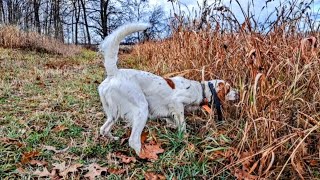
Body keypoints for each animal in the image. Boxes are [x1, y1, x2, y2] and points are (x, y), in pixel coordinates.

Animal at [97, 22, 238, 155]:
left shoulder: (170, 112)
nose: (238, 94)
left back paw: (113, 139)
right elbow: (182, 124)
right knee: (133, 140)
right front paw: (185, 138)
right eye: (229, 88)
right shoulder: (177, 103)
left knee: (104, 129)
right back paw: (144, 154)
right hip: (141, 108)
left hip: (113, 114)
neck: (200, 89)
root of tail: (114, 73)